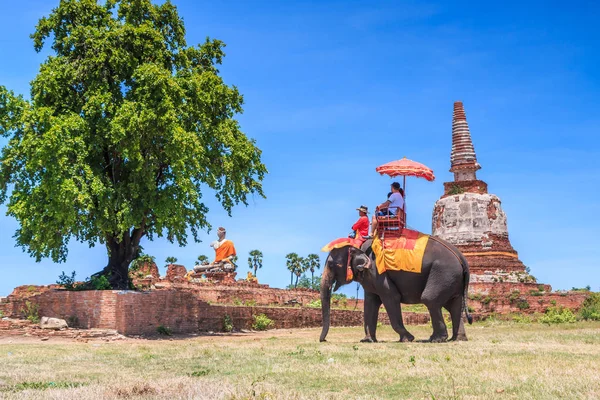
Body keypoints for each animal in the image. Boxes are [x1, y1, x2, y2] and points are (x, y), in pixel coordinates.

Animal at [318, 238, 474, 344]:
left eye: (332, 265)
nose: (323, 340)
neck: (359, 246)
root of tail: (462, 258)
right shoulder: (369, 277)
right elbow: (370, 303)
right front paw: (367, 340)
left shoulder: (378, 272)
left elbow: (391, 298)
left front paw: (408, 339)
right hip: (452, 279)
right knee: (454, 305)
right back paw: (457, 339)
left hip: (443, 273)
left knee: (430, 299)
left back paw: (436, 339)